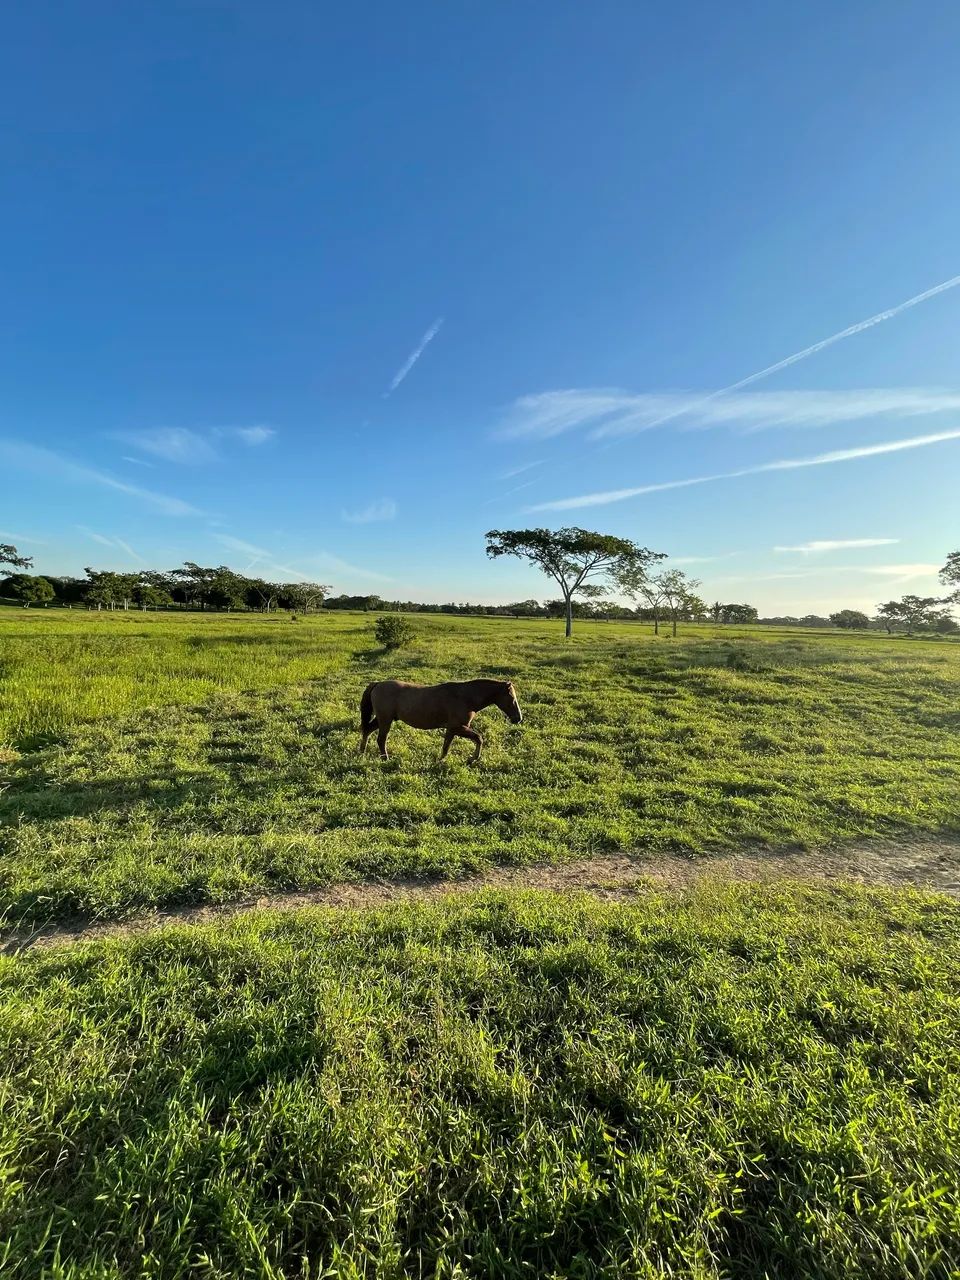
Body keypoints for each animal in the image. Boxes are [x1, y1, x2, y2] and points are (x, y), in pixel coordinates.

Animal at [359, 678, 522, 763]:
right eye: (511, 699)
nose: (518, 719)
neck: (465, 697)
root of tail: (378, 683)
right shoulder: (457, 727)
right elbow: (478, 738)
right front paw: (472, 758)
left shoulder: (452, 729)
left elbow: (446, 746)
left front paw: (441, 761)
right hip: (385, 720)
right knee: (381, 739)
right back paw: (385, 758)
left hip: (382, 719)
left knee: (367, 731)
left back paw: (361, 752)